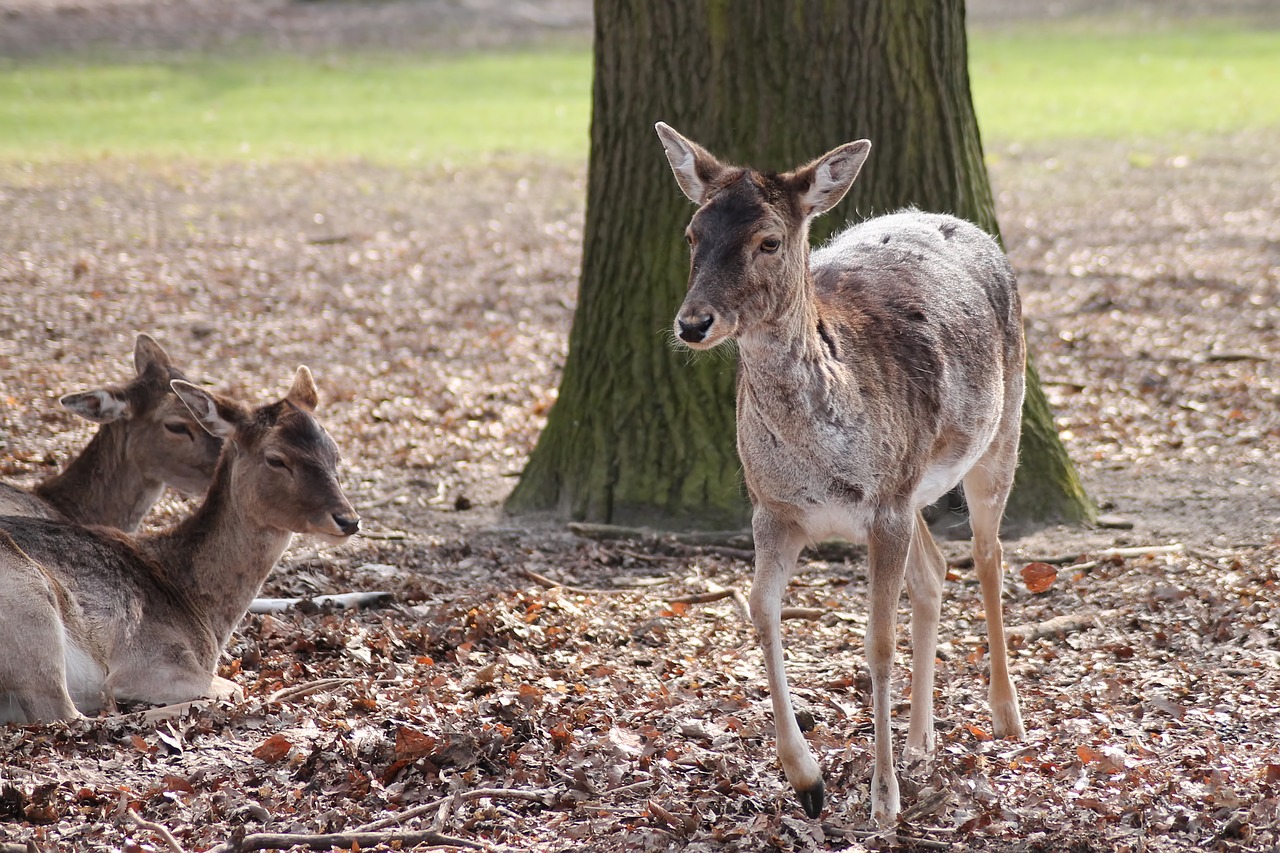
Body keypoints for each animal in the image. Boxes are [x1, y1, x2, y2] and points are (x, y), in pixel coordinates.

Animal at [1, 361, 360, 722]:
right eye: (276, 459)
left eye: (335, 455)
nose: (348, 520)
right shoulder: (150, 659)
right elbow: (234, 687)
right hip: (30, 604)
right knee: (66, 714)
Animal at [655, 122, 1024, 819]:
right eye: (691, 233)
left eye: (769, 240)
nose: (692, 323)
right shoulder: (773, 509)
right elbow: (759, 609)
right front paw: (807, 780)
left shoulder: (884, 507)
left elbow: (876, 642)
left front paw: (883, 801)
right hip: (914, 487)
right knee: (935, 571)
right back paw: (921, 743)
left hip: (999, 432)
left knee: (987, 555)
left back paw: (1005, 717)